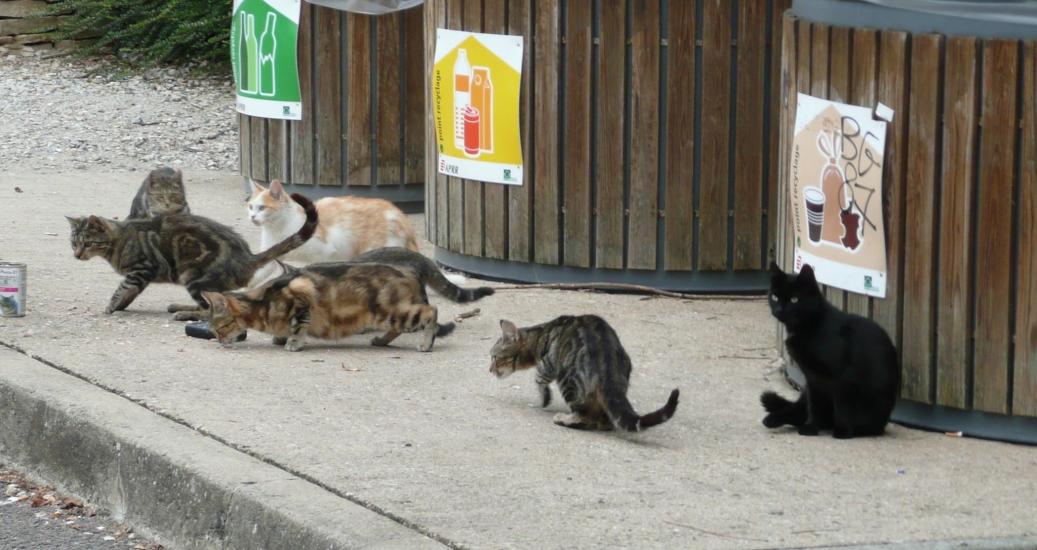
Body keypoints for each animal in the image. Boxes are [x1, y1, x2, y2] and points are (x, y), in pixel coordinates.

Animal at [66, 191, 315, 313]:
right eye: (73, 243)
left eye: (87, 243)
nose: (77, 255)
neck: (119, 241)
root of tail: (246, 258)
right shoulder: (140, 276)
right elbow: (129, 293)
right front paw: (120, 306)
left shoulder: (141, 269)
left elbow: (122, 289)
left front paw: (111, 307)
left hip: (193, 277)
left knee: (211, 309)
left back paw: (185, 313)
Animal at [202, 262, 454, 350]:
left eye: (221, 328)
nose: (220, 340)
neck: (262, 304)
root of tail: (411, 272)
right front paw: (280, 337)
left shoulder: (301, 301)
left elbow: (298, 328)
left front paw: (292, 343)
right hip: (391, 316)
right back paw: (381, 341)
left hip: (394, 313)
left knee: (432, 312)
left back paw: (426, 344)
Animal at [491, 315, 684, 429]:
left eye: (494, 357)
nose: (490, 369)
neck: (539, 336)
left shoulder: (547, 365)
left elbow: (539, 380)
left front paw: (545, 398)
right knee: (604, 418)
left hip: (567, 378)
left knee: (585, 416)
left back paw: (565, 418)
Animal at [763, 263, 900, 437]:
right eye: (775, 297)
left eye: (794, 299)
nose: (779, 310)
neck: (811, 325)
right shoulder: (813, 378)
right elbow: (815, 406)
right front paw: (812, 427)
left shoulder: (843, 377)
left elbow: (843, 406)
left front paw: (842, 432)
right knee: (800, 410)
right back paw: (774, 419)